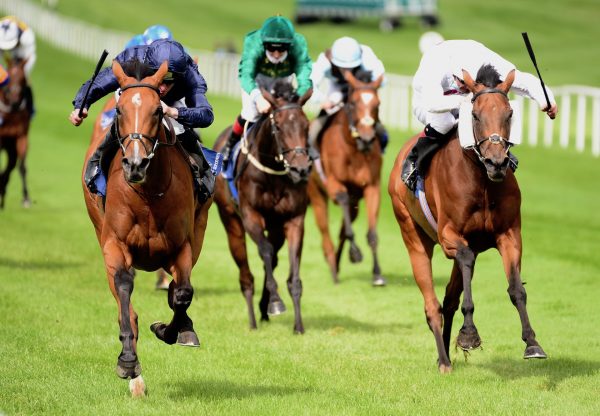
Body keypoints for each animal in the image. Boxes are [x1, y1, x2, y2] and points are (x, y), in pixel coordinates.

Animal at [79, 59, 211, 396]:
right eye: (120, 109)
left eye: (157, 111)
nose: (135, 164)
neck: (149, 192)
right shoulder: (114, 244)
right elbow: (125, 289)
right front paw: (128, 362)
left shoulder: (183, 245)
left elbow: (183, 293)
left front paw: (171, 329)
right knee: (125, 305)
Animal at [212, 81, 314, 334]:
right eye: (277, 126)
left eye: (306, 125)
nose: (300, 169)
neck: (274, 174)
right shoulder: (251, 216)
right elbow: (265, 251)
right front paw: (276, 302)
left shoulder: (294, 220)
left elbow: (292, 271)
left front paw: (298, 325)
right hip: (231, 222)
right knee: (246, 274)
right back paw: (252, 319)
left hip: (275, 227)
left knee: (273, 258)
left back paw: (262, 307)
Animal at [308, 71, 386, 286]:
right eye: (353, 103)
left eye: (377, 104)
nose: (366, 139)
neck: (354, 150)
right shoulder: (335, 184)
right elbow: (344, 212)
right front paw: (356, 253)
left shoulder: (372, 187)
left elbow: (372, 233)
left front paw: (377, 274)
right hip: (317, 195)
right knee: (325, 231)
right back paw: (333, 266)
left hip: (354, 203)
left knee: (342, 228)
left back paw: (338, 262)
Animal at [386, 66, 548, 374]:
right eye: (475, 115)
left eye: (509, 113)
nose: (497, 162)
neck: (481, 181)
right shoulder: (450, 236)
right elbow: (465, 263)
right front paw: (469, 334)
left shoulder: (509, 235)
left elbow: (516, 289)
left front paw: (532, 343)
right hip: (413, 236)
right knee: (432, 304)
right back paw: (444, 361)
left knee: (449, 299)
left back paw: (446, 355)